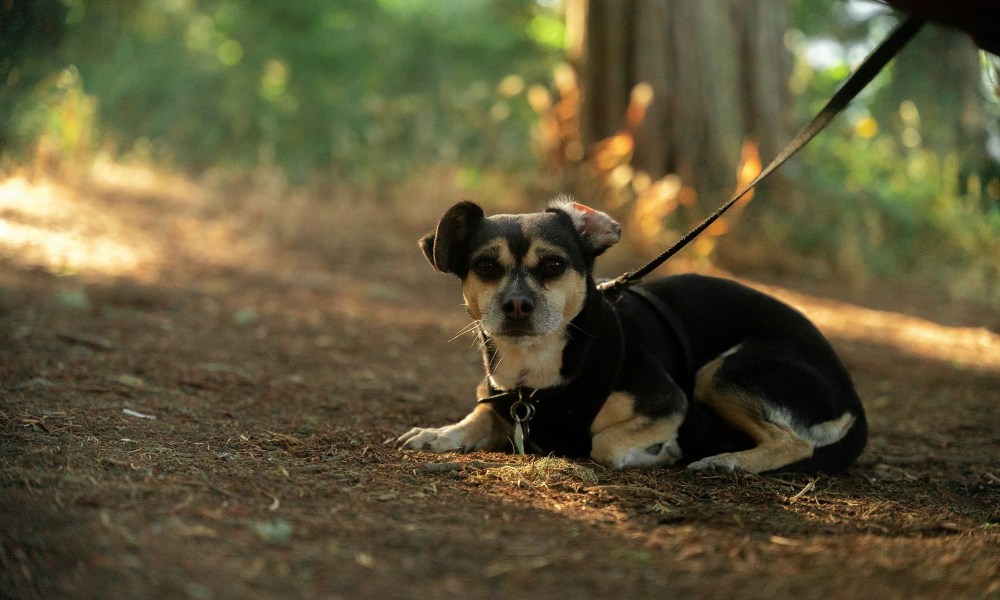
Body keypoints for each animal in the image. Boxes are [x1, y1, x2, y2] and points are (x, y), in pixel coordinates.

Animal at [398, 200, 868, 474]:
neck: (533, 376)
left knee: (796, 442)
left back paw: (727, 461)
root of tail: (852, 393)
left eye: (553, 265)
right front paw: (437, 433)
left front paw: (659, 452)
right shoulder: (496, 397)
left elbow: (604, 445)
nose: (516, 305)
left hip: (718, 373)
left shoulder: (668, 401)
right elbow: (477, 416)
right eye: (484, 266)